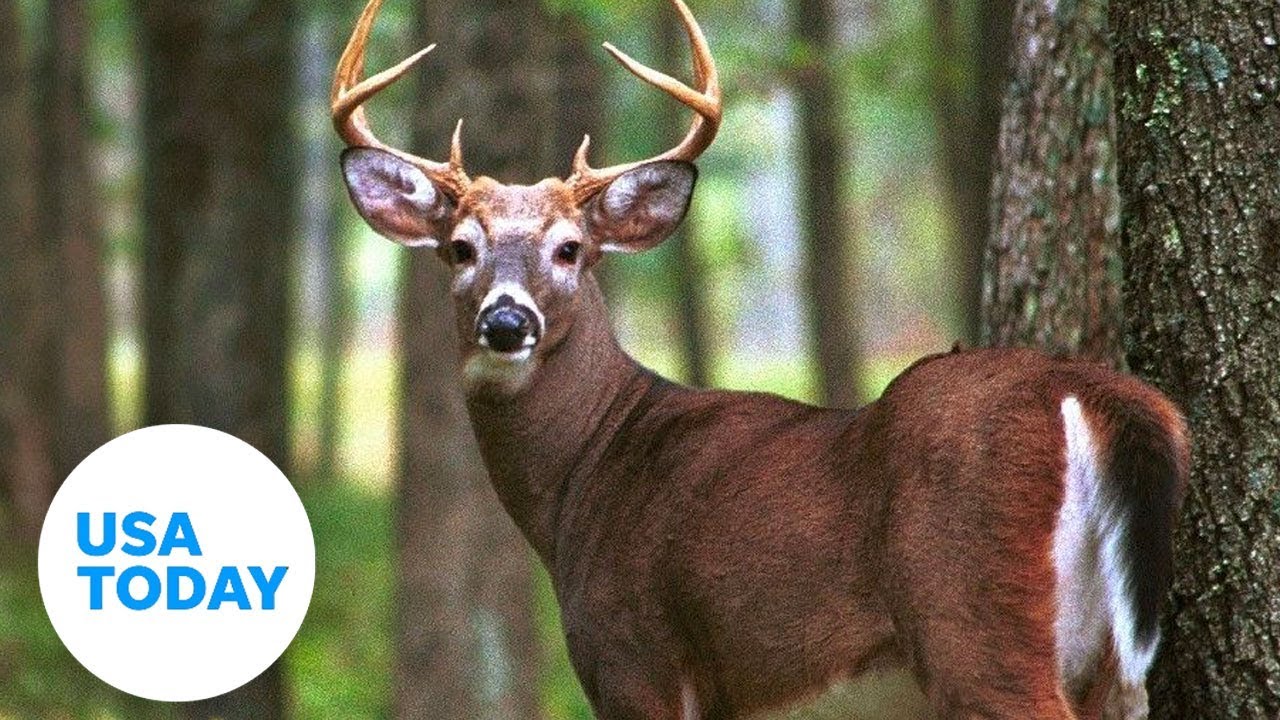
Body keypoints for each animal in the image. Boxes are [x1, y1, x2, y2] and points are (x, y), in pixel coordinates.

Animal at [331, 0, 1189, 717]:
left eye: (570, 248)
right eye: (459, 248)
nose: (507, 321)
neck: (587, 473)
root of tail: (1092, 393)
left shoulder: (633, 656)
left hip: (974, 616)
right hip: (1105, 660)